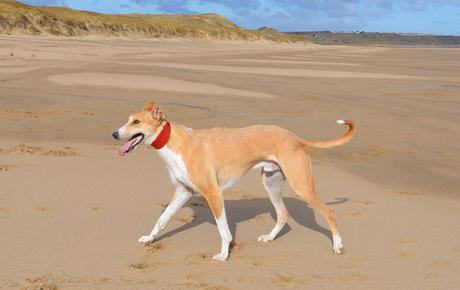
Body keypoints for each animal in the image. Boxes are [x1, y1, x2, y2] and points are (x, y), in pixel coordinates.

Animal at [112, 101, 356, 260]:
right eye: (127, 120)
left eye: (136, 122)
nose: (114, 134)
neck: (176, 142)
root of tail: (296, 138)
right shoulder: (183, 192)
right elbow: (162, 219)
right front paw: (149, 238)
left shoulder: (213, 193)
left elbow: (223, 228)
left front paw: (223, 254)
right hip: (272, 183)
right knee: (283, 214)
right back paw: (269, 237)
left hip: (301, 184)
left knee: (329, 211)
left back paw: (338, 245)